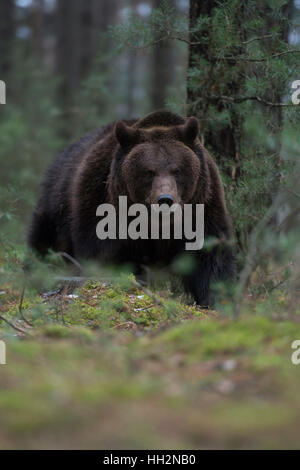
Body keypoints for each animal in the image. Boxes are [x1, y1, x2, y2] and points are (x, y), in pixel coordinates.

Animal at [28, 111, 234, 308]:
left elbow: (210, 255)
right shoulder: (104, 209)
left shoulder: (203, 208)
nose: (165, 199)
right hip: (56, 208)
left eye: (177, 170)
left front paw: (217, 298)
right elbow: (100, 254)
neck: (155, 225)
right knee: (44, 246)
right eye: (149, 172)